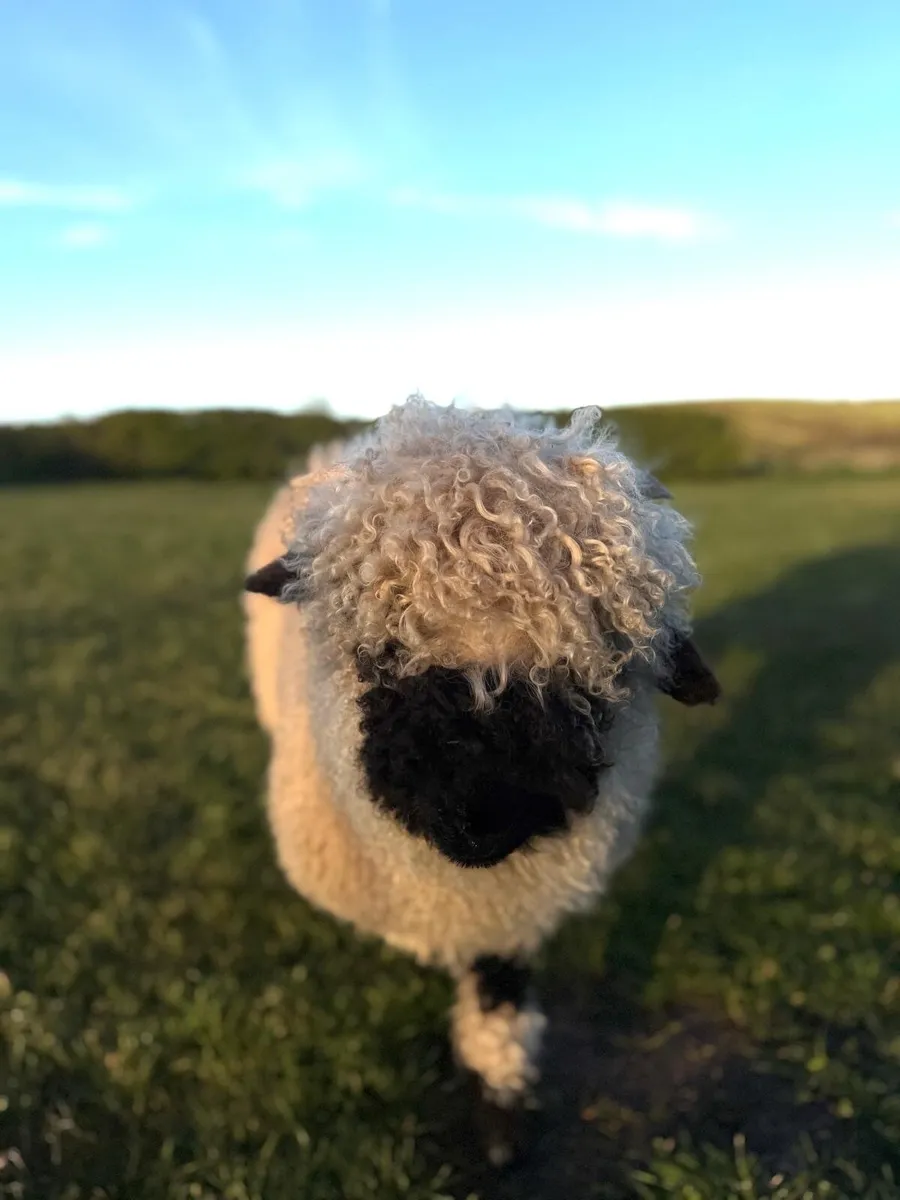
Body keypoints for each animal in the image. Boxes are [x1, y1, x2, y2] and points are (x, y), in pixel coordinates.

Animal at [243, 395, 720, 1165]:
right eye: (378, 650)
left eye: (601, 660)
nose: (480, 820)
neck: (459, 885)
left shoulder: (514, 907)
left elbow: (500, 994)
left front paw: (500, 1110)